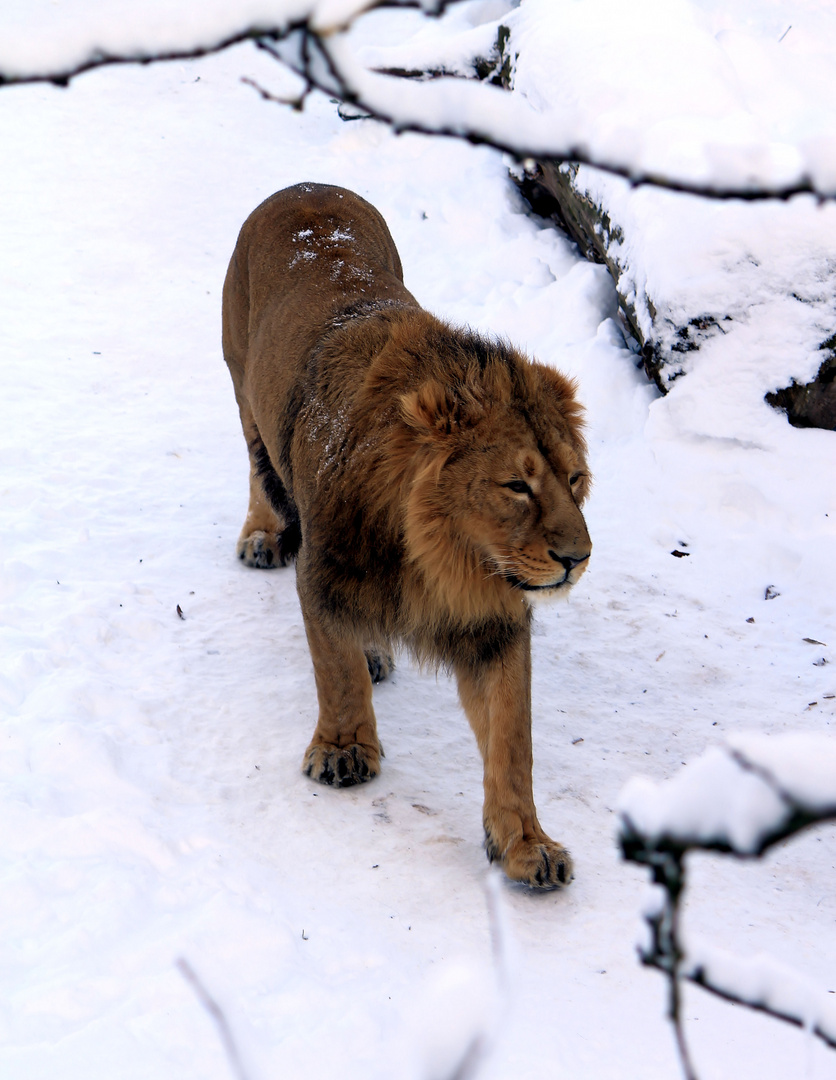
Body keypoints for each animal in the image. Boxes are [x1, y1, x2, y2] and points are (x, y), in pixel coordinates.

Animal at [219, 181, 591, 885]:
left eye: (576, 479)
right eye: (517, 485)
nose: (576, 558)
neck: (443, 557)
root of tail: (305, 185)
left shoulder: (495, 620)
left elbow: (512, 739)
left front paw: (526, 845)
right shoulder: (323, 571)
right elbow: (334, 669)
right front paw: (343, 752)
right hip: (243, 393)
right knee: (256, 467)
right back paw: (262, 536)